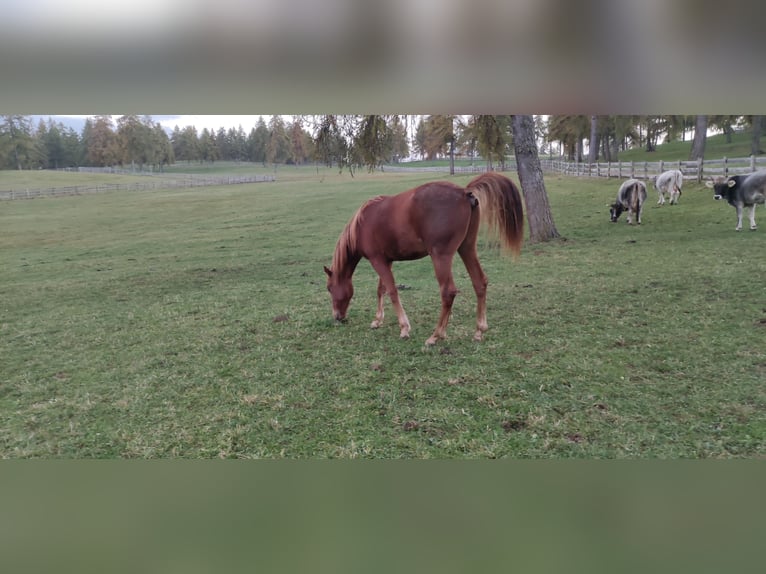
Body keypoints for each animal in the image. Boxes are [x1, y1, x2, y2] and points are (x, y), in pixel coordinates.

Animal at [324, 172, 528, 346]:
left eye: (329, 288)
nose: (337, 317)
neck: (362, 224)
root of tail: (464, 192)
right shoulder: (386, 260)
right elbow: (381, 289)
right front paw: (378, 320)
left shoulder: (378, 260)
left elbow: (392, 291)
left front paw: (404, 328)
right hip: (467, 248)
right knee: (480, 283)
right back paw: (478, 330)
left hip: (440, 256)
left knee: (448, 292)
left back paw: (436, 335)